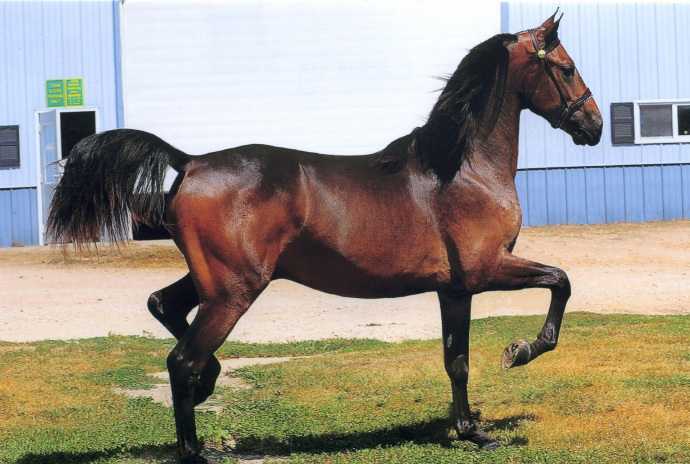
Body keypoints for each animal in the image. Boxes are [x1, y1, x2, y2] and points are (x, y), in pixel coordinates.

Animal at [47, 12, 602, 464]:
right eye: (567, 67)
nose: (593, 125)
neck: (461, 168)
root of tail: (191, 161)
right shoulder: (487, 269)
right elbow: (561, 281)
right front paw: (523, 350)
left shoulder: (455, 288)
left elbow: (457, 362)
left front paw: (471, 431)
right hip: (233, 291)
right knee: (182, 359)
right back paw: (194, 447)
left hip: (217, 282)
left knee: (163, 306)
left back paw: (209, 384)